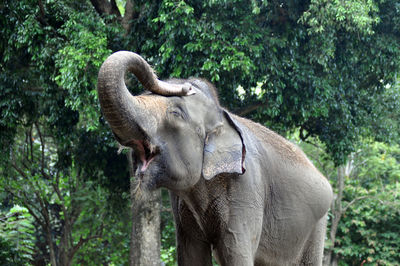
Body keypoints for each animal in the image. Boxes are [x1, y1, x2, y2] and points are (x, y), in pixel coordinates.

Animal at [98, 51, 332, 264]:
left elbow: (235, 253)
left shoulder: (246, 189)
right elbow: (191, 255)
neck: (222, 115)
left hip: (317, 227)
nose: (187, 86)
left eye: (176, 113)